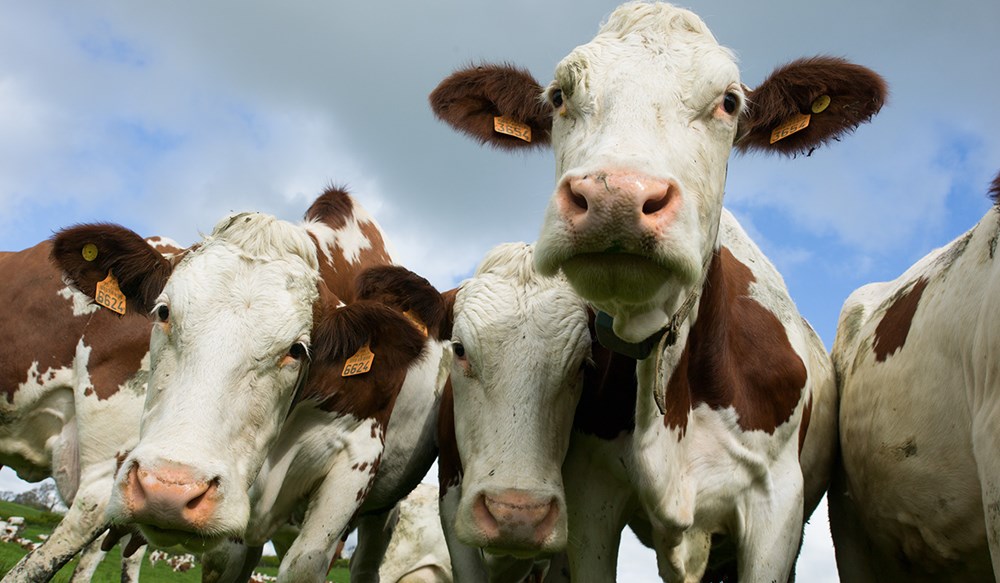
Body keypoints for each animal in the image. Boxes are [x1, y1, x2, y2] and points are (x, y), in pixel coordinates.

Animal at [50, 187, 451, 583]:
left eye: (297, 348)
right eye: (163, 312)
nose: (169, 490)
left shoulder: (357, 456)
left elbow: (304, 563)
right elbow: (225, 561)